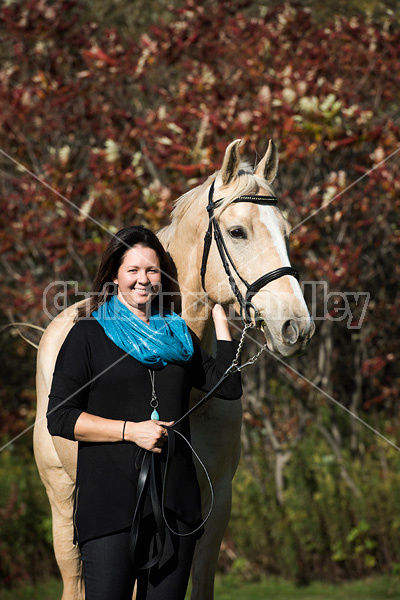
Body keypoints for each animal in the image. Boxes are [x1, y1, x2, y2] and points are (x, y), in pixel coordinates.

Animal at [33, 138, 316, 596]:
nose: (297, 326)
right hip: (63, 501)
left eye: (286, 231)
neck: (193, 394)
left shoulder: (215, 506)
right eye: (237, 232)